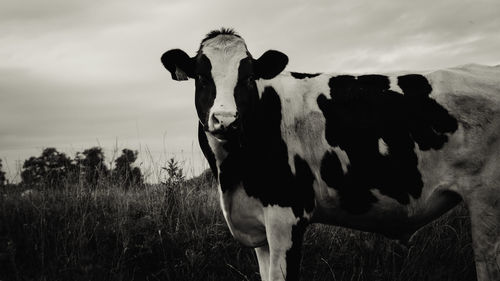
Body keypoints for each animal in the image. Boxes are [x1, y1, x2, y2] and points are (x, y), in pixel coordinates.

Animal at [160, 29, 500, 280]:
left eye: (247, 77)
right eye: (202, 77)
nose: (226, 120)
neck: (233, 175)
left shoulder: (288, 217)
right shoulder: (259, 227)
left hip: (487, 199)